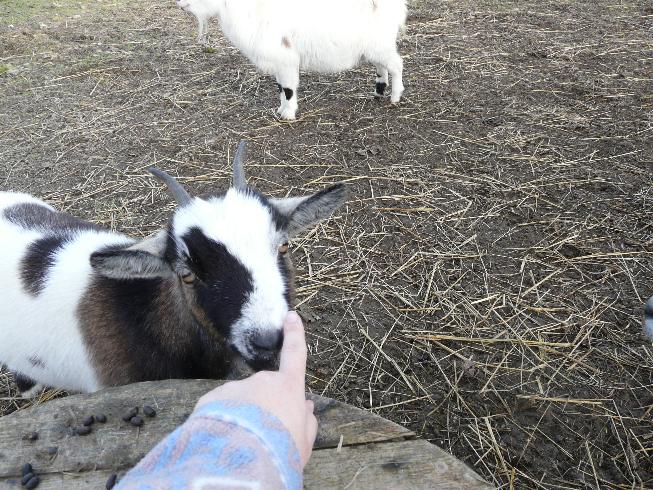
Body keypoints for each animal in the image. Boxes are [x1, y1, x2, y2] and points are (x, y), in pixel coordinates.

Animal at [176, 0, 404, 119]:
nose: (179, 2)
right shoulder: (280, 62)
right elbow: (279, 87)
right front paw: (281, 110)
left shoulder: (285, 59)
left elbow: (287, 88)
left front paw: (287, 115)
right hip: (374, 48)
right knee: (382, 67)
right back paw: (378, 92)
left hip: (380, 45)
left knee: (396, 65)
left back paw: (394, 97)